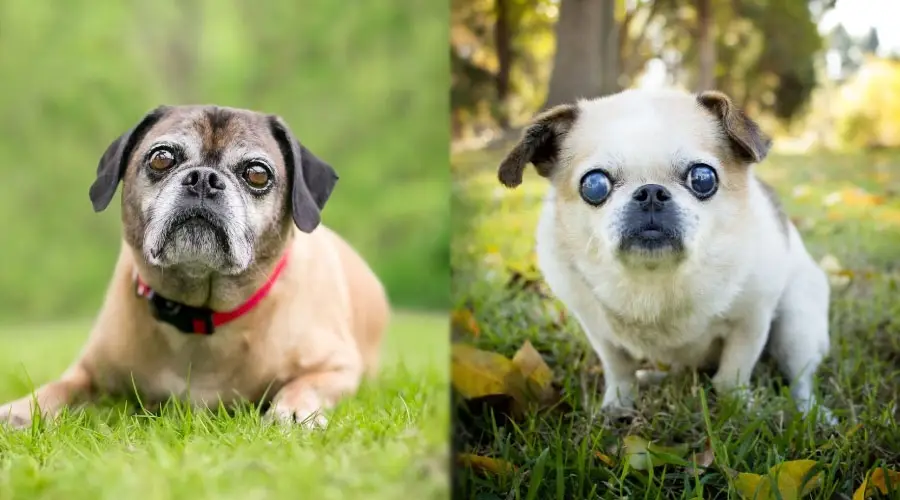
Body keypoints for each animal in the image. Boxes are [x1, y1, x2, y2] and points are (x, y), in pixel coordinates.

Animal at [0, 104, 386, 426]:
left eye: (257, 174)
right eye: (161, 158)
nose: (204, 178)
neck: (199, 316)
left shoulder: (337, 368)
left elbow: (304, 384)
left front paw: (291, 411)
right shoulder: (88, 372)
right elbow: (59, 387)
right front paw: (22, 409)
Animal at [496, 89, 832, 422]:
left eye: (703, 178)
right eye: (594, 185)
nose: (651, 193)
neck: (655, 279)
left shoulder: (750, 322)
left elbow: (733, 373)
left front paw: (736, 406)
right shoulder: (601, 334)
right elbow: (619, 370)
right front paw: (618, 404)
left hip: (797, 327)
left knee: (800, 377)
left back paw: (810, 413)